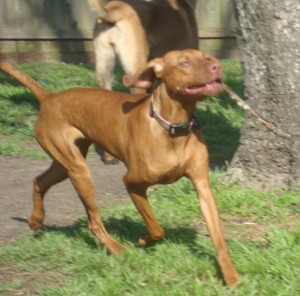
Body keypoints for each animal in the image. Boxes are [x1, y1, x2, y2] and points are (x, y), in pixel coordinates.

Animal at [0, 49, 239, 286]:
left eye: (207, 58)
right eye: (184, 63)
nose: (217, 66)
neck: (172, 127)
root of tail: (49, 97)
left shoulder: (202, 186)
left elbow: (218, 238)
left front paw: (230, 275)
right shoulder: (133, 183)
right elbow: (156, 228)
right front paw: (143, 240)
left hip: (65, 163)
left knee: (39, 181)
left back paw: (35, 220)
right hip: (79, 170)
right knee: (93, 221)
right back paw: (116, 249)